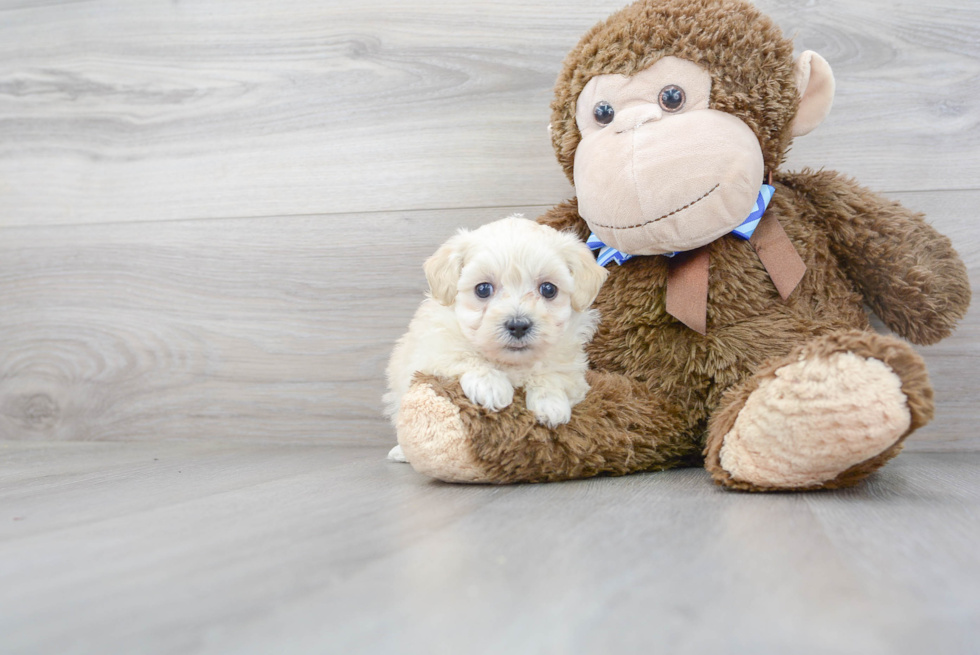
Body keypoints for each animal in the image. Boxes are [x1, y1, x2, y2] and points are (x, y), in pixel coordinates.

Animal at [380, 215, 604, 462]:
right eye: (483, 289)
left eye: (548, 289)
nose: (518, 325)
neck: (510, 363)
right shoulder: (431, 349)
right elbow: (462, 354)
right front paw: (490, 386)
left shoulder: (570, 365)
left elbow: (553, 373)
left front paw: (551, 404)